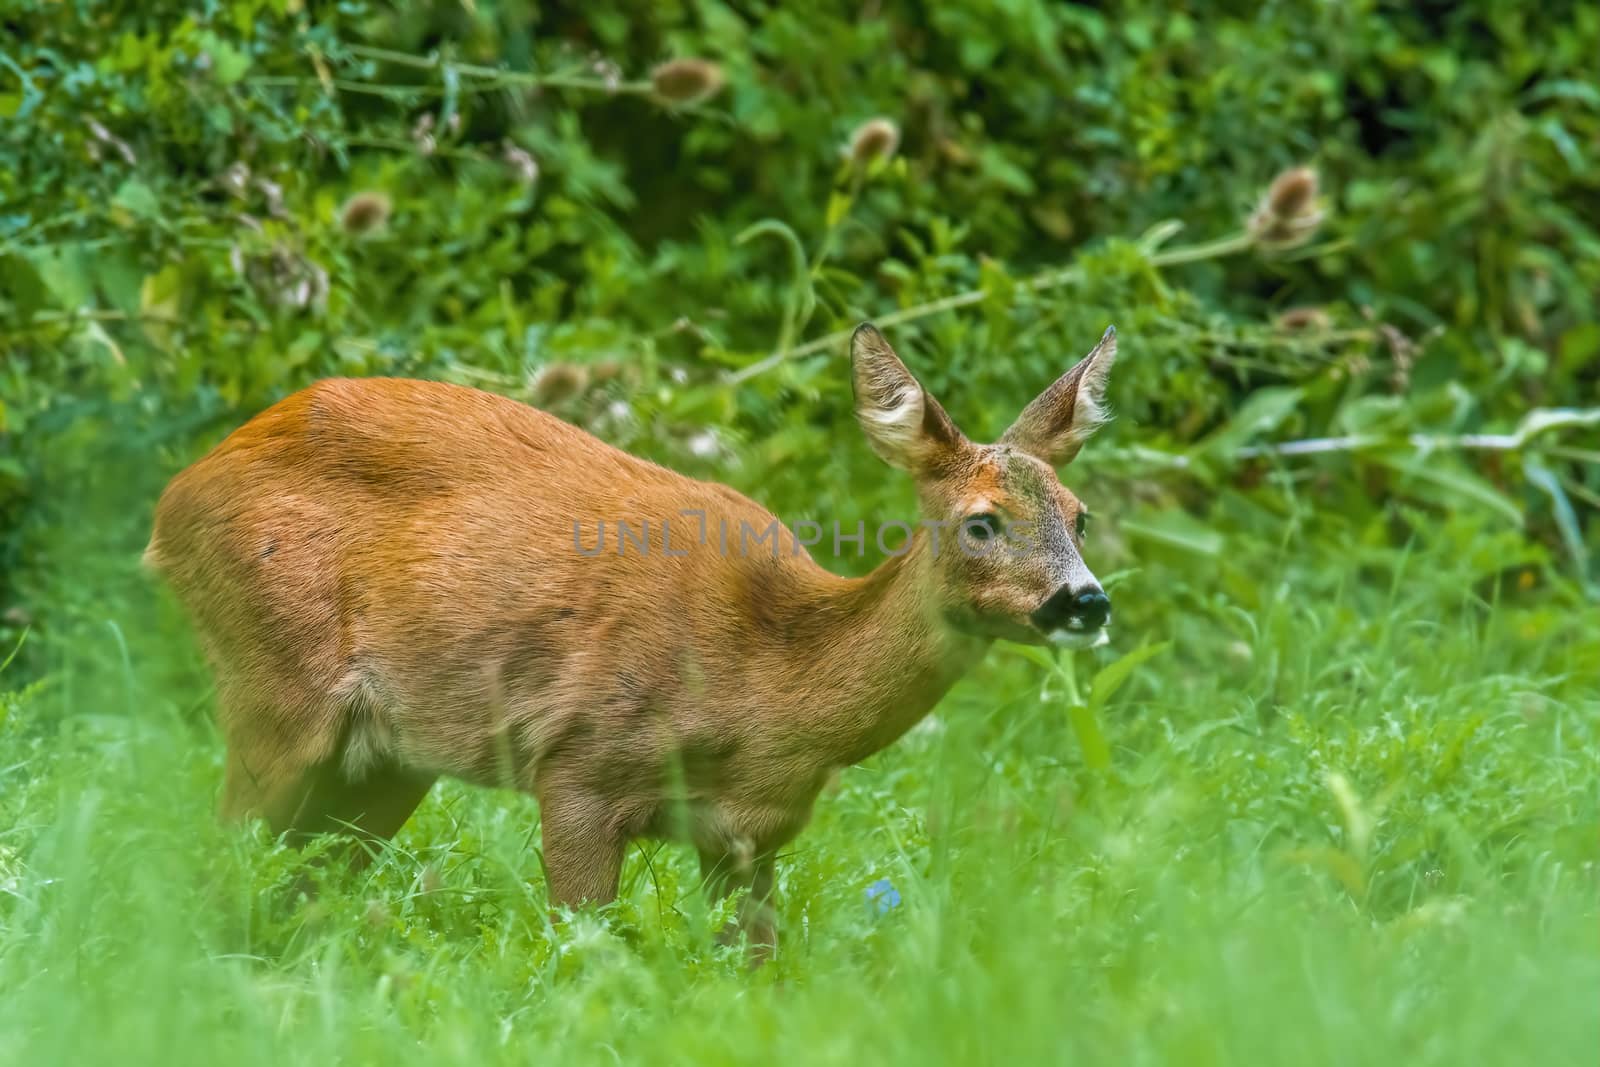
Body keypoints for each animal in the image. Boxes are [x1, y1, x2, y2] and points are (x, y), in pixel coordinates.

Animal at [150, 323, 1120, 959]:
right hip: (273, 685)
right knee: (218, 859)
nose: (1086, 601)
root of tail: (175, 498)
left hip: (385, 760)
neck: (768, 692)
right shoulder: (579, 762)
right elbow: (577, 951)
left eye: (1079, 515)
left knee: (296, 883)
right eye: (981, 522)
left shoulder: (751, 836)